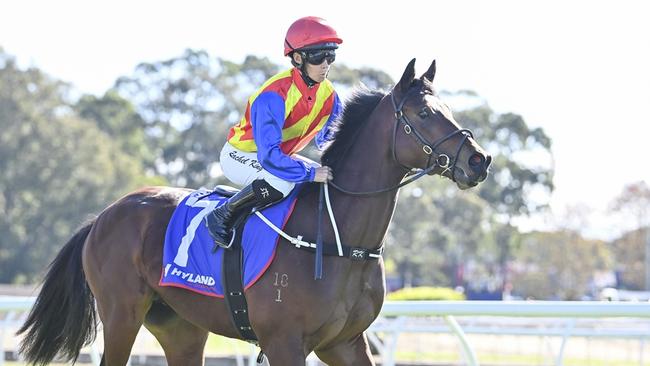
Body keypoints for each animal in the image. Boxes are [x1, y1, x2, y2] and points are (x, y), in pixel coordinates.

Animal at [17, 58, 488, 364]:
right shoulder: (285, 342)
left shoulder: (346, 342)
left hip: (180, 327)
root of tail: (102, 217)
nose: (479, 160)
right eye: (424, 112)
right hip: (121, 314)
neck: (341, 241)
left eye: (448, 109)